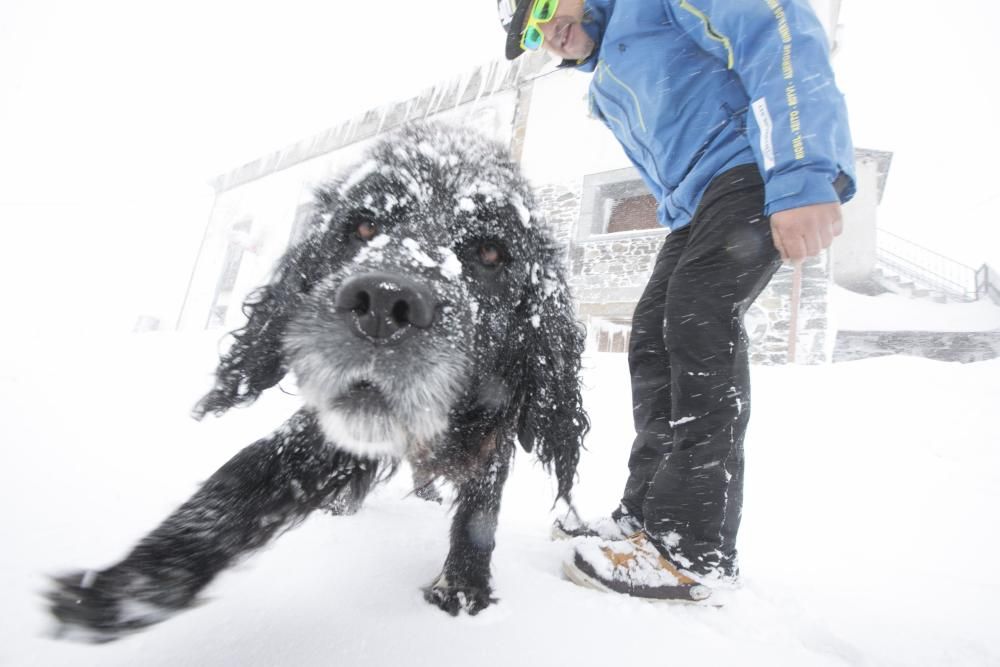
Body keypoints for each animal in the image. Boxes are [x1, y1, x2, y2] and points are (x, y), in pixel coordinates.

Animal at [47, 124, 588, 640]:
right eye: (364, 225)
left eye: (491, 252)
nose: (383, 301)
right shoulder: (327, 430)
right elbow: (242, 483)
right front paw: (126, 587)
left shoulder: (494, 438)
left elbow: (479, 515)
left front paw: (463, 588)